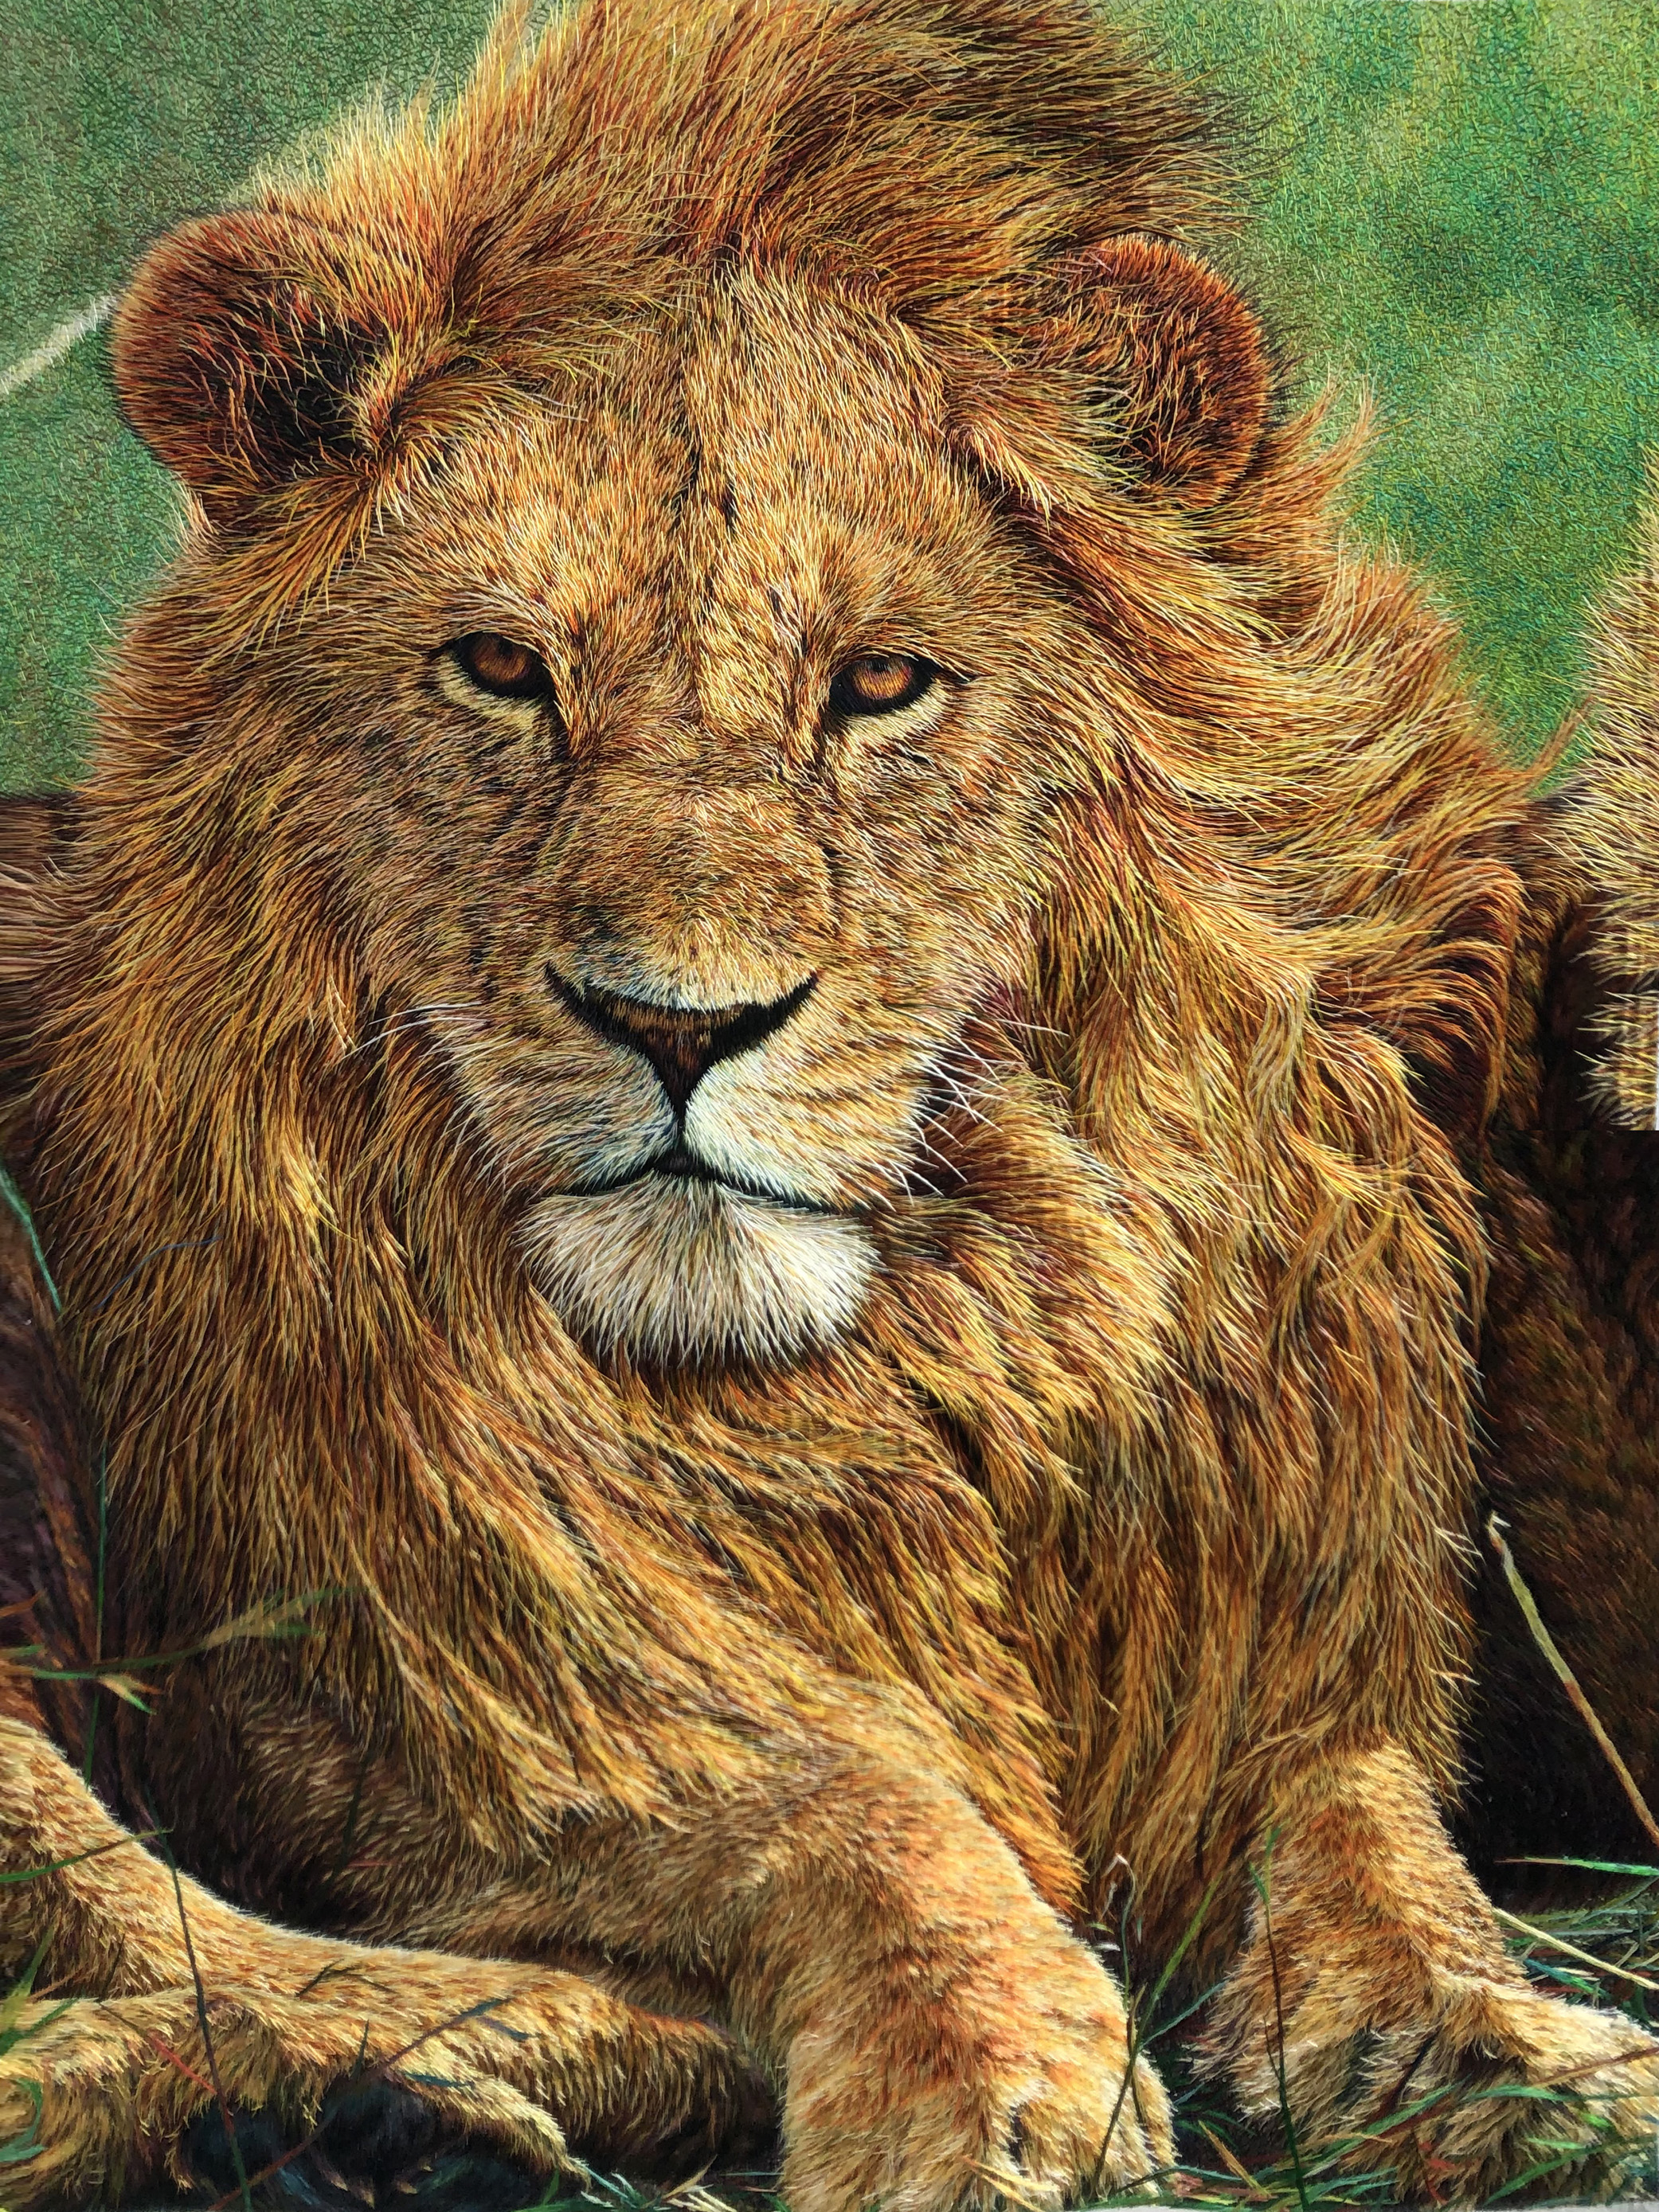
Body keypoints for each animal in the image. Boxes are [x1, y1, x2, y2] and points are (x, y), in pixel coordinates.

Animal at [2, 0, 1659, 2205]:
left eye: (880, 686)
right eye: (498, 669)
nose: (678, 1025)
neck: (901, 1379)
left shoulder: (1285, 1664)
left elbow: (1367, 1828)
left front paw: (1507, 2048)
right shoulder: (382, 1718)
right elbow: (839, 1805)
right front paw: (987, 2080)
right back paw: (433, 2102)